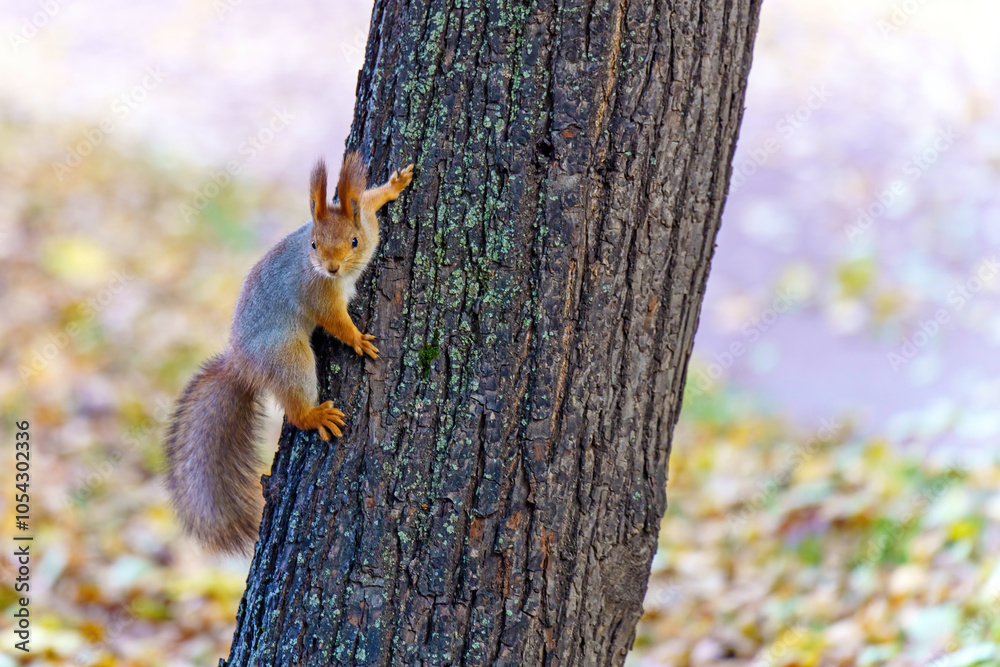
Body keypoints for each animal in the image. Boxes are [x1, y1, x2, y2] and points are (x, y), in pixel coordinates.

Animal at [164, 152, 414, 553]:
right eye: (313, 244)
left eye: (354, 240)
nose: (330, 267)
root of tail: (241, 365)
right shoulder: (316, 292)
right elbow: (334, 321)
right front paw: (357, 339)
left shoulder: (369, 222)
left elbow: (369, 201)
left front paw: (394, 185)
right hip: (288, 356)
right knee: (295, 407)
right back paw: (314, 415)